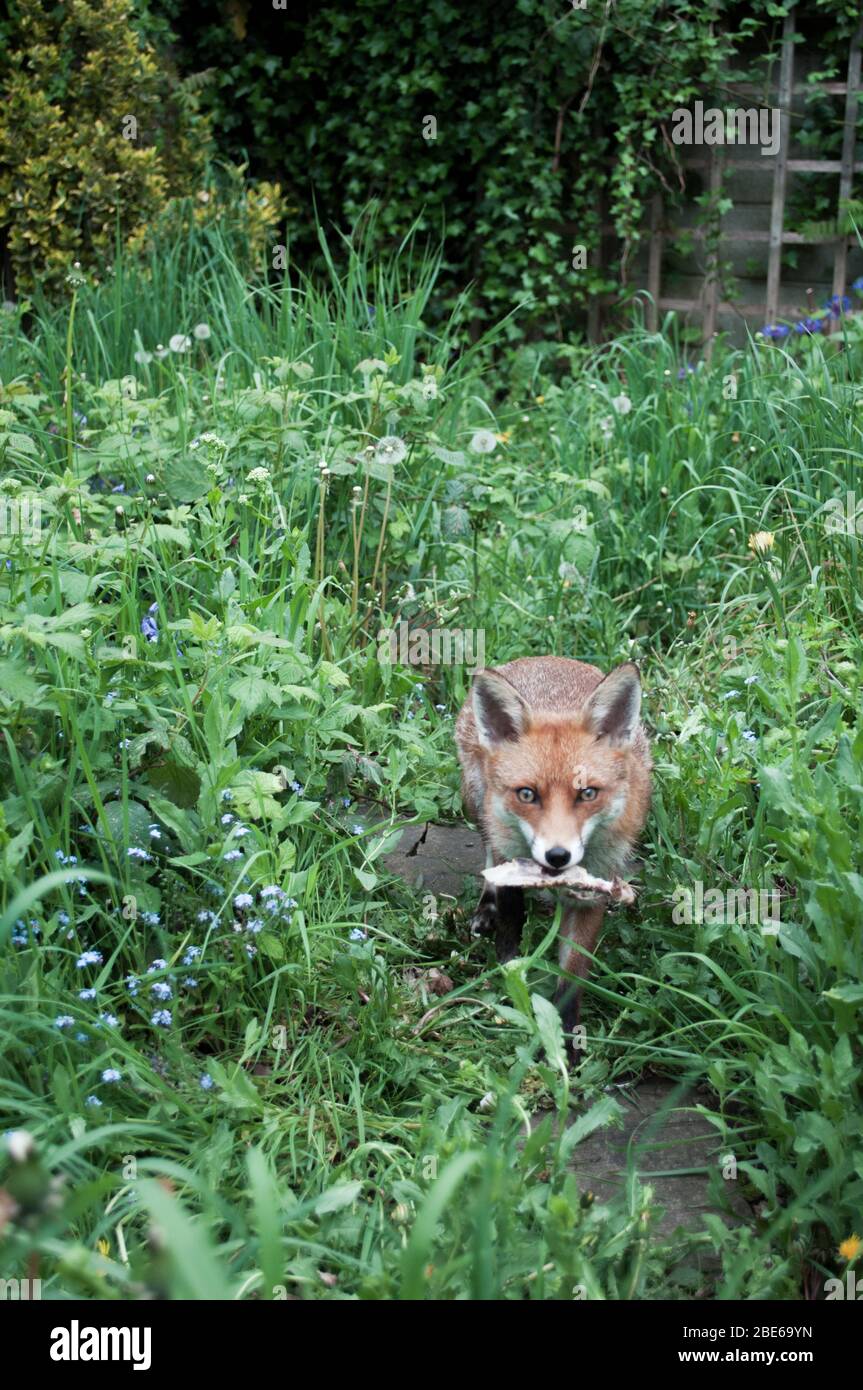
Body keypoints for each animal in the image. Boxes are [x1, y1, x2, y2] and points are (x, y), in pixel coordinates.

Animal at [455, 656, 651, 1053]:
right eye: (527, 794)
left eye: (587, 793)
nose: (557, 856)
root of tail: (542, 659)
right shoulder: (508, 857)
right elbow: (511, 917)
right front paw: (510, 970)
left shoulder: (593, 894)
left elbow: (572, 976)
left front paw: (567, 1043)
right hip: (475, 800)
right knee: (487, 858)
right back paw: (486, 908)